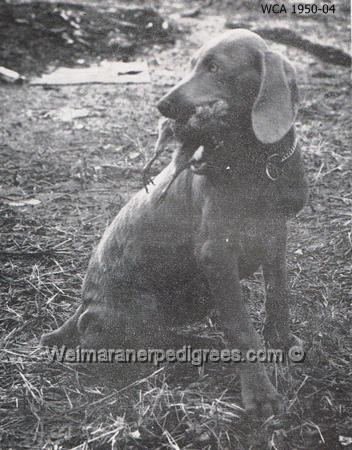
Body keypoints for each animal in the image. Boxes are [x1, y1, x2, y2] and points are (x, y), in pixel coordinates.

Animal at [41, 29, 308, 416]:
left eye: (214, 68)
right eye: (192, 64)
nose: (161, 106)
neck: (257, 162)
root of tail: (82, 306)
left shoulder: (275, 237)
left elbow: (279, 297)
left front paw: (283, 343)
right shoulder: (216, 255)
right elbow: (242, 328)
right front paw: (260, 395)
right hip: (140, 309)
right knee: (136, 342)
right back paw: (201, 348)